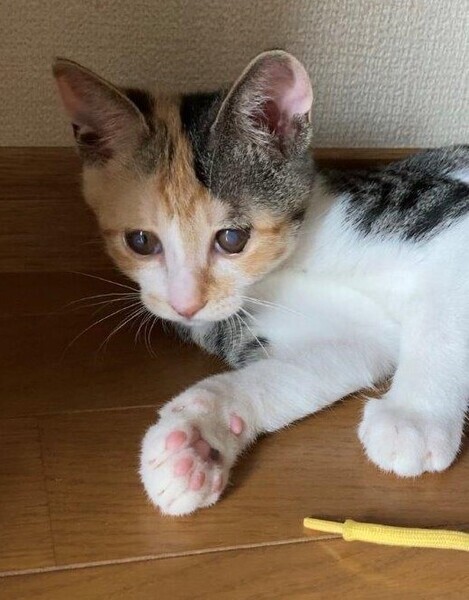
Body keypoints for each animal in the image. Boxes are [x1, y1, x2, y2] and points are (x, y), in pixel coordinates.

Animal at [53, 50, 469, 516]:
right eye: (141, 241)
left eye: (232, 238)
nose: (185, 305)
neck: (285, 269)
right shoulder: (350, 338)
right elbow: (301, 371)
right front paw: (197, 435)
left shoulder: (439, 215)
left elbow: (442, 321)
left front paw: (416, 417)